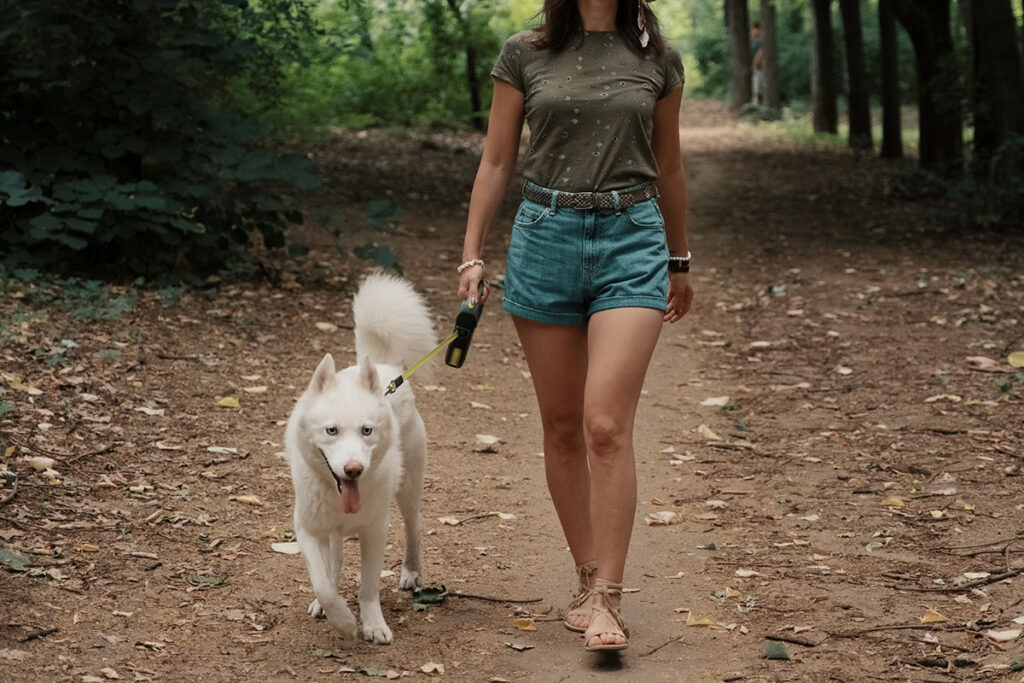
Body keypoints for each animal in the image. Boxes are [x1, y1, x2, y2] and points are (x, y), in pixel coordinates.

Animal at [284, 274, 436, 647]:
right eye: (331, 430)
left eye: (367, 431)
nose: (354, 469)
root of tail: (385, 368)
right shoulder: (307, 529)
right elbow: (324, 583)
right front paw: (341, 619)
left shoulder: (375, 531)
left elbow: (368, 587)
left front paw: (373, 624)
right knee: (334, 562)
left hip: (408, 491)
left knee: (413, 529)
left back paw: (412, 572)